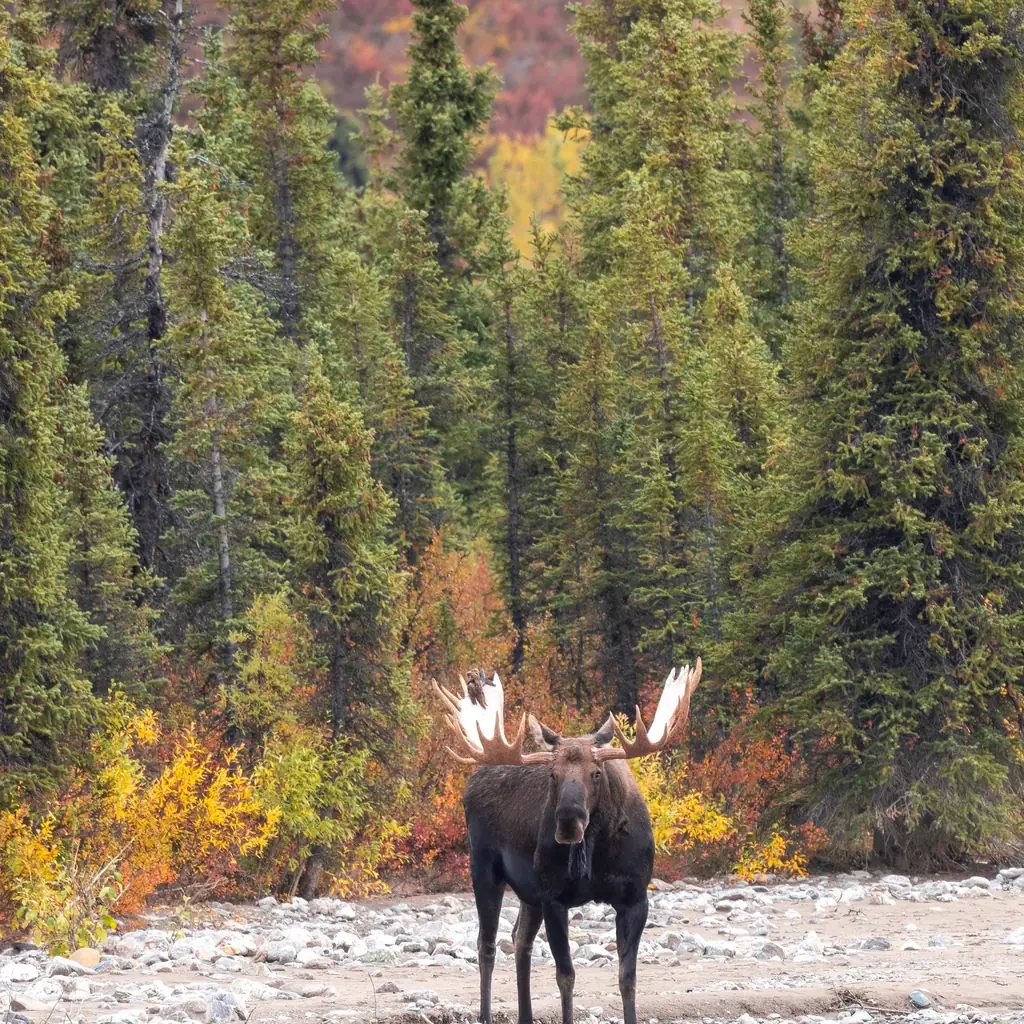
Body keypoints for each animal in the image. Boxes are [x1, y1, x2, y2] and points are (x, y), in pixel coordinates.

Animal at [431, 659, 702, 1024]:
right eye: (552, 774)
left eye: (596, 773)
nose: (568, 823)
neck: (598, 853)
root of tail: (473, 780)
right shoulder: (554, 898)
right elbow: (566, 976)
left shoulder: (635, 898)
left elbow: (627, 977)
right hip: (484, 868)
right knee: (486, 945)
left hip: (528, 890)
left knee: (520, 939)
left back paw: (526, 1016)